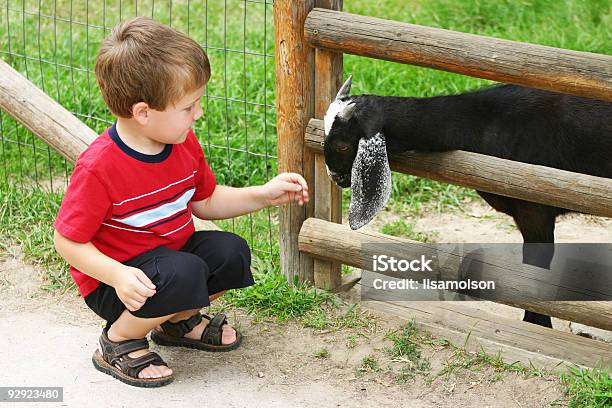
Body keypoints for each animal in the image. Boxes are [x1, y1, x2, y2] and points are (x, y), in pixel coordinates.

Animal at [322, 75, 608, 326]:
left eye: (342, 145)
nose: (335, 177)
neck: (486, 122)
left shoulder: (535, 209)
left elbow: (535, 271)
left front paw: (536, 325)